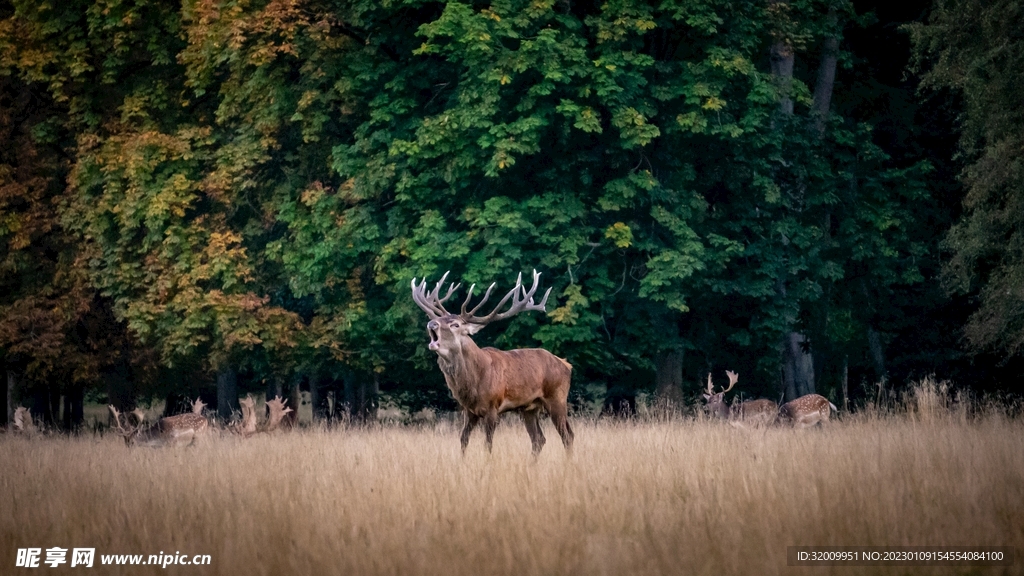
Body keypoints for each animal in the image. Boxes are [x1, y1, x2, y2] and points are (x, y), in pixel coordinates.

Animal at [411, 270, 573, 456]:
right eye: (439, 318)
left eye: (455, 324)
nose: (431, 323)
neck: (473, 384)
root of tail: (567, 365)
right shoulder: (468, 410)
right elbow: (463, 440)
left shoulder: (492, 407)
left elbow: (487, 445)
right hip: (530, 407)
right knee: (539, 439)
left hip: (557, 397)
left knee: (567, 436)